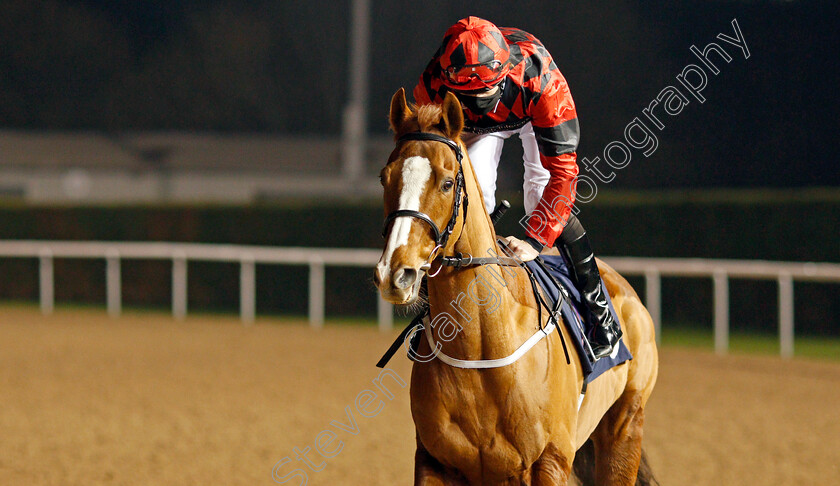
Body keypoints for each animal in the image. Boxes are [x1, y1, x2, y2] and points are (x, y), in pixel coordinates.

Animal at [374, 89, 656, 484]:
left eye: (447, 182)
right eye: (385, 178)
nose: (396, 273)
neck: (479, 350)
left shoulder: (550, 461)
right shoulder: (433, 461)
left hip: (625, 426)